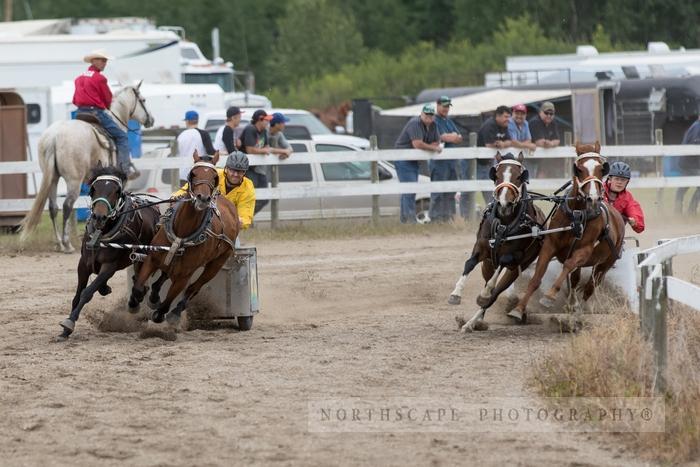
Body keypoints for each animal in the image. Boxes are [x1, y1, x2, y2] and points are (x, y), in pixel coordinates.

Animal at [20, 82, 153, 254]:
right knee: (67, 206)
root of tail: (54, 136)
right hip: (73, 180)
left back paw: (59, 243)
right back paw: (67, 244)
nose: (151, 120)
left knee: (53, 207)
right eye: (143, 100)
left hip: (53, 178)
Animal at [57, 165, 161, 340]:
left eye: (116, 191)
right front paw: (66, 330)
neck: (102, 234)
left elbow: (87, 292)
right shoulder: (83, 264)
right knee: (137, 281)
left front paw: (70, 322)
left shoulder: (109, 266)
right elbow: (77, 296)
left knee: (141, 283)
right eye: (93, 189)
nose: (99, 217)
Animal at [129, 153, 241, 326]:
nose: (203, 198)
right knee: (164, 276)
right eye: (193, 174)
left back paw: (176, 310)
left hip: (216, 264)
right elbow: (139, 287)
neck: (182, 232)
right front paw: (136, 302)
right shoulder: (152, 258)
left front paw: (163, 313)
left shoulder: (184, 276)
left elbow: (167, 302)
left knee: (194, 288)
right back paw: (154, 297)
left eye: (214, 177)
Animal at [448, 152, 548, 330]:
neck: (504, 223)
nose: (503, 202)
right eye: (496, 175)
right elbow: (469, 263)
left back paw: (474, 320)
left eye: (519, 177)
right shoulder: (481, 247)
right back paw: (475, 321)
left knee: (494, 293)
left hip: (515, 269)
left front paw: (484, 294)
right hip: (487, 265)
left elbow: (502, 263)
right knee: (488, 281)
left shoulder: (513, 256)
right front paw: (456, 294)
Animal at [506, 143, 628, 324]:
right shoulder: (549, 246)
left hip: (605, 264)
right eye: (579, 169)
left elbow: (568, 265)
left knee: (590, 287)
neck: (577, 215)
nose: (593, 198)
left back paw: (580, 309)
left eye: (601, 168)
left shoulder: (583, 251)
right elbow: (536, 278)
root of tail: (618, 216)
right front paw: (518, 309)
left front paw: (549, 296)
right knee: (576, 281)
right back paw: (573, 303)